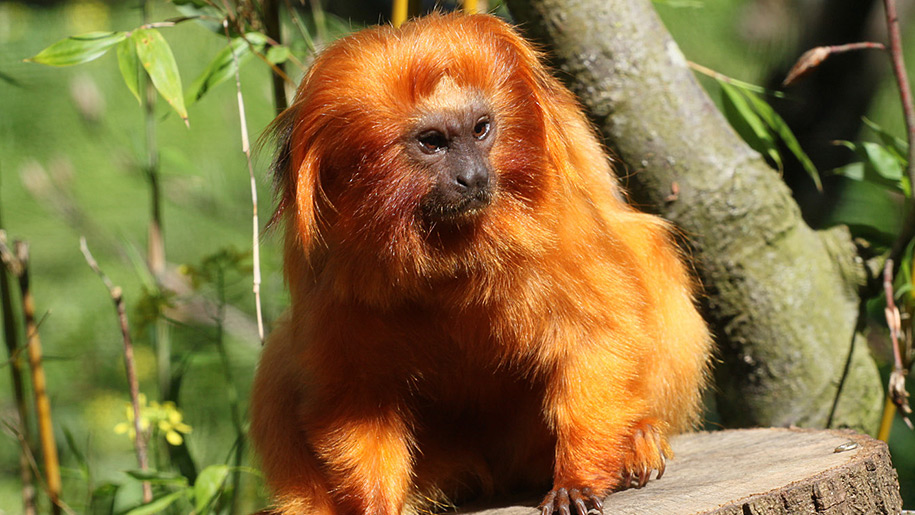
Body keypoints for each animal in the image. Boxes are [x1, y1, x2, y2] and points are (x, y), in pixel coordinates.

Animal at [252, 12, 716, 515]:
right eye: (432, 142)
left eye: (480, 129)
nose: (473, 177)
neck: (444, 250)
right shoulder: (330, 267)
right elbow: (354, 396)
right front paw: (373, 505)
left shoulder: (558, 222)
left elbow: (599, 331)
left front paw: (578, 478)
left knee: (647, 247)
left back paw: (638, 440)